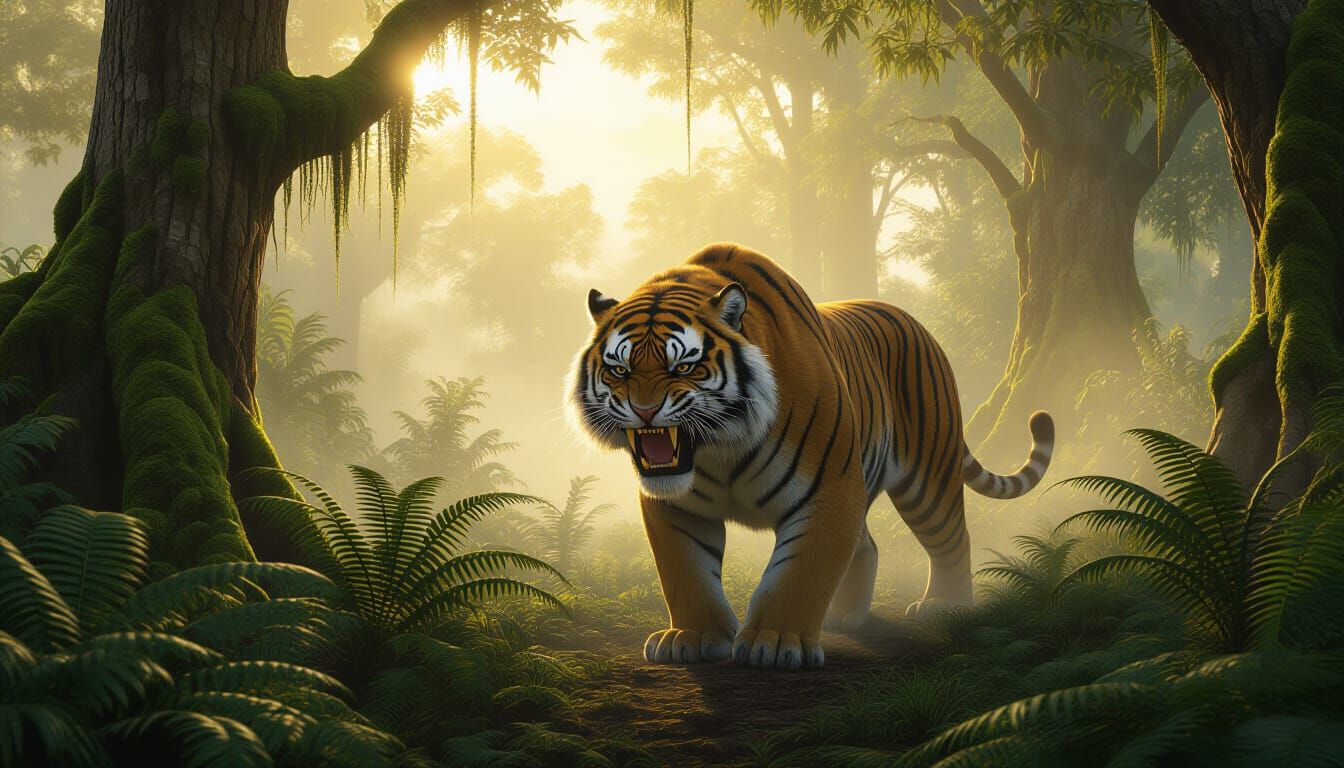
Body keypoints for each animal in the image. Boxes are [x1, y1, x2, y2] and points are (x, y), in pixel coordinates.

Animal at [568, 243, 1053, 670]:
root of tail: (915, 322)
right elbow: (686, 572)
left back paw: (945, 605)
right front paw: (694, 637)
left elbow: (798, 573)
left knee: (952, 537)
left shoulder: (828, 491)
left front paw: (775, 642)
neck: (719, 449)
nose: (644, 410)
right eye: (619, 369)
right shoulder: (676, 506)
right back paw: (845, 615)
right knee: (868, 544)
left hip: (927, 477)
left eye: (683, 367)